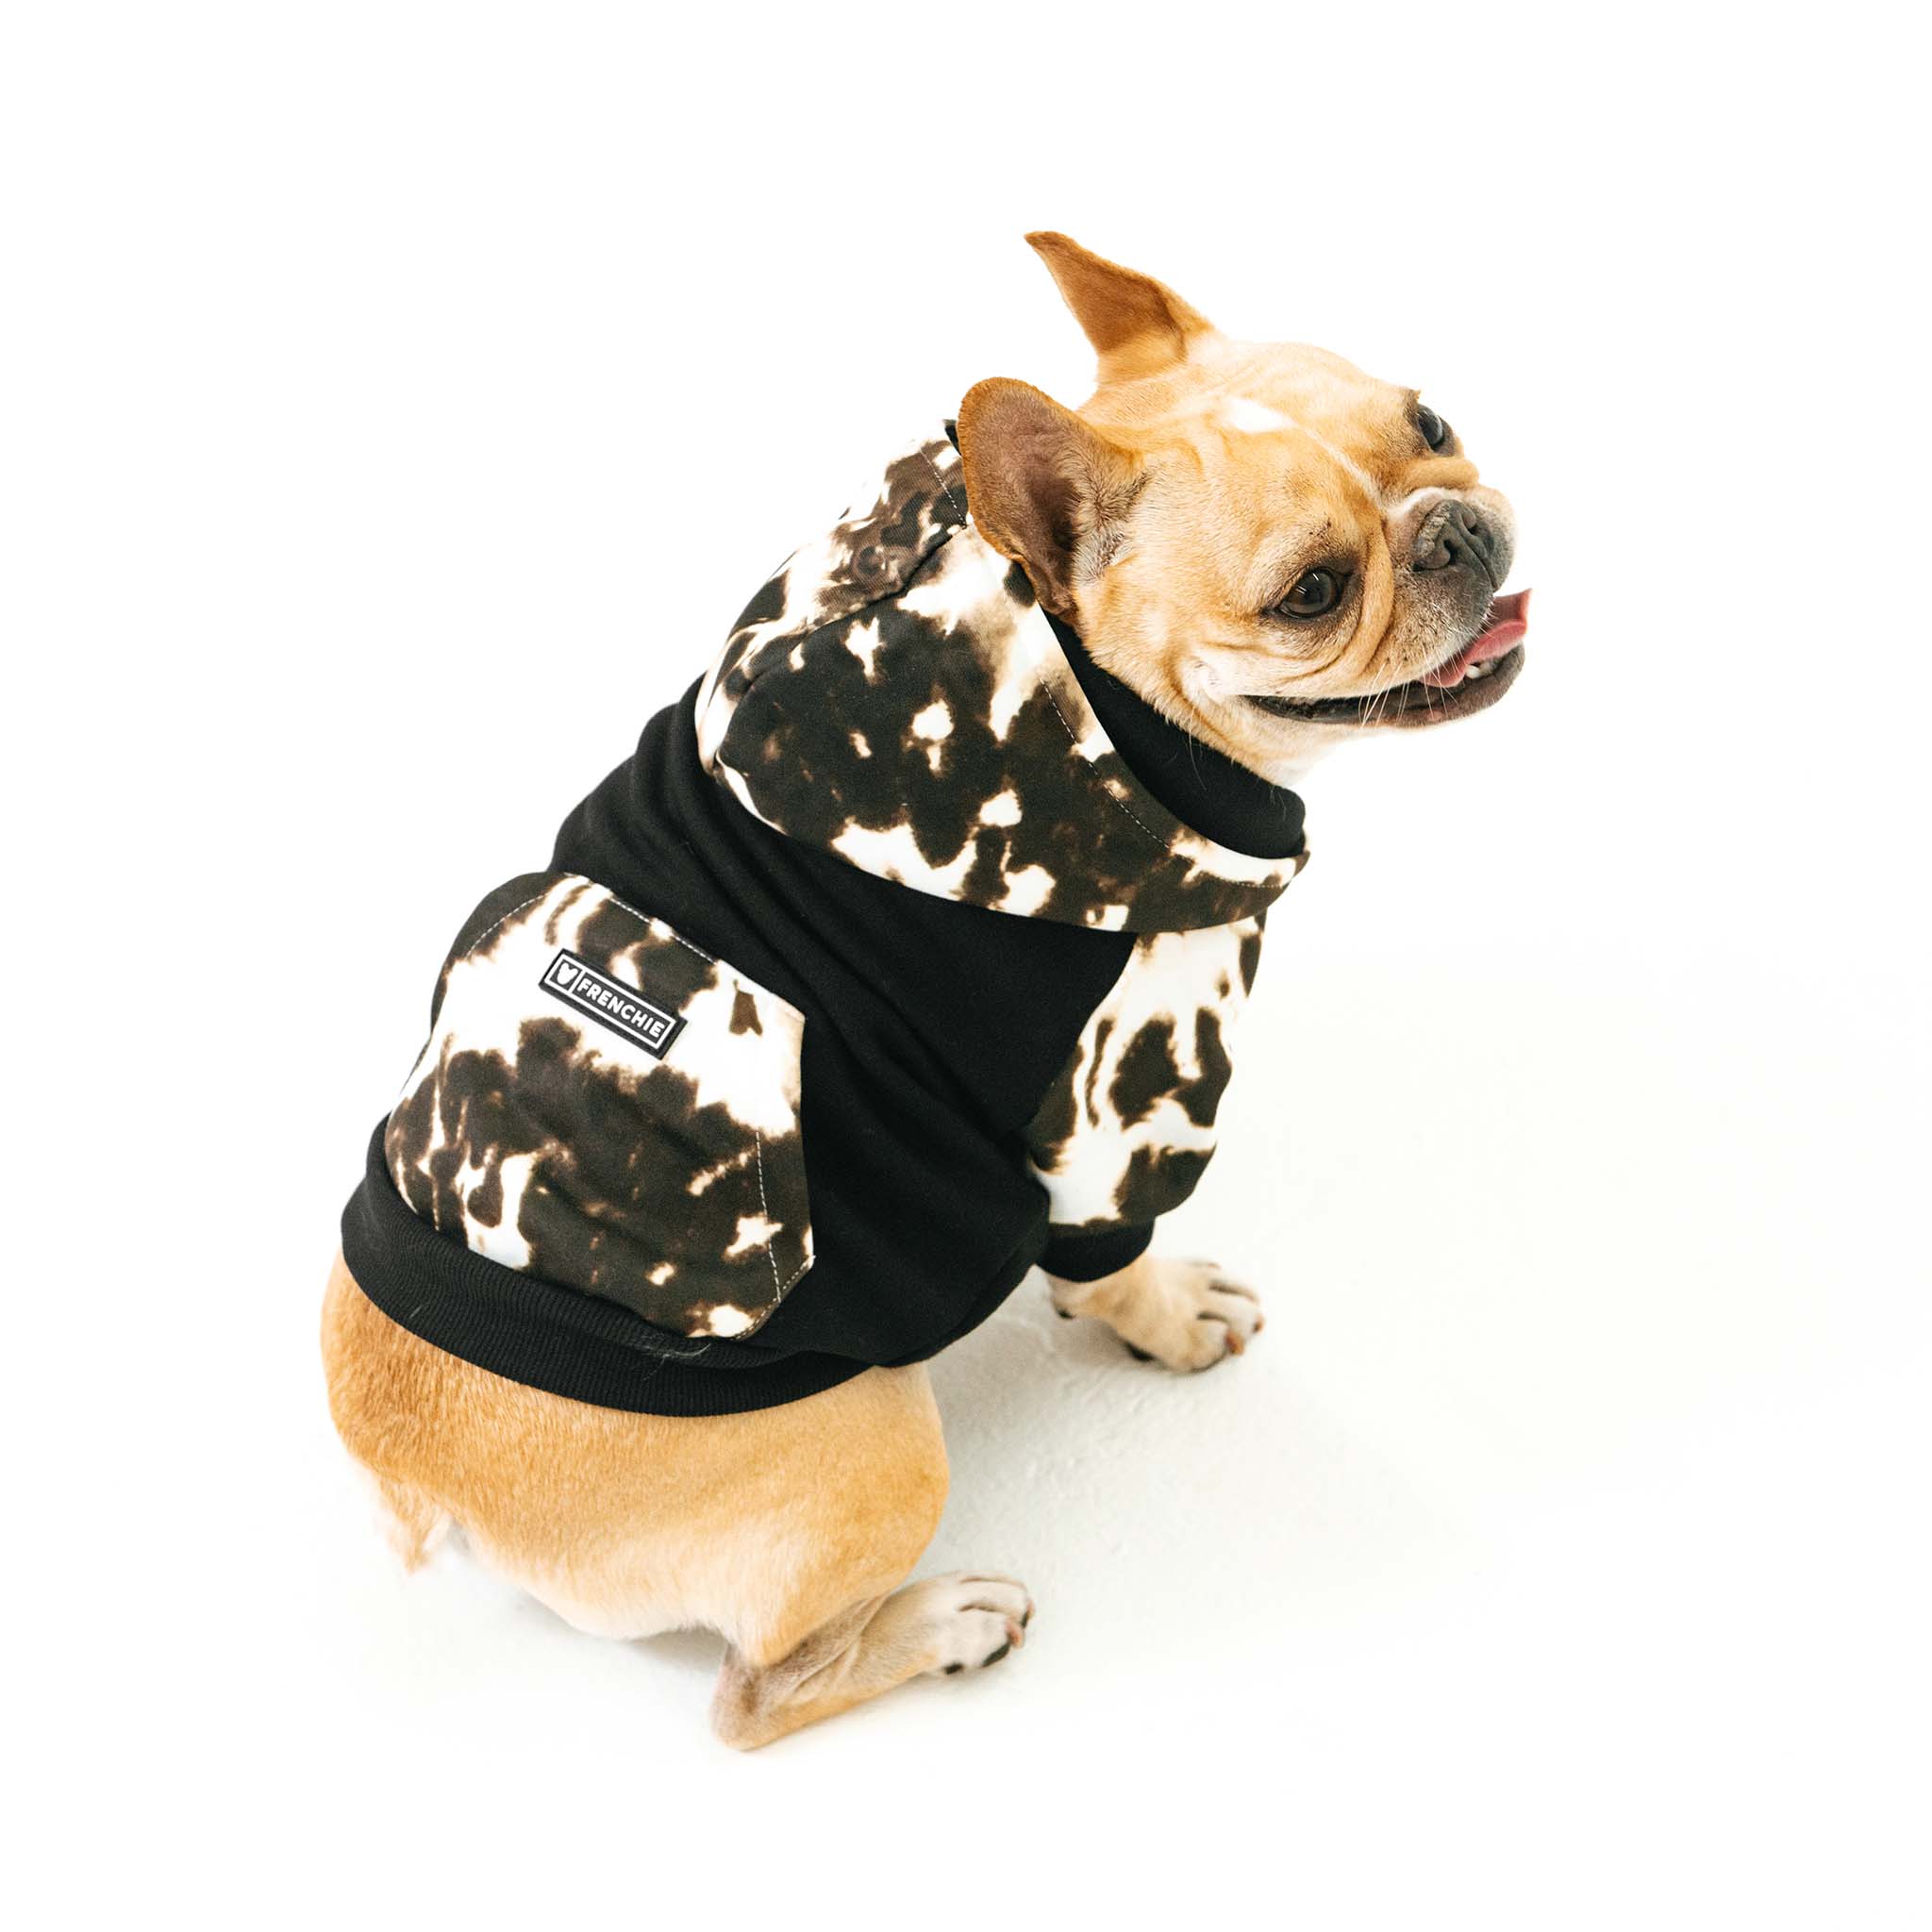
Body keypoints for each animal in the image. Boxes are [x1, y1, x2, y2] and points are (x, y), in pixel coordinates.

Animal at [322, 233, 1528, 1748]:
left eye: (1430, 421)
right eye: (1309, 591)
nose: (1453, 528)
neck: (1062, 676)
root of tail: (414, 1479)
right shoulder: (1121, 1100)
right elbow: (1109, 1248)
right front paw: (1166, 1315)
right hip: (882, 1441)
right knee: (754, 1694)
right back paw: (939, 1623)